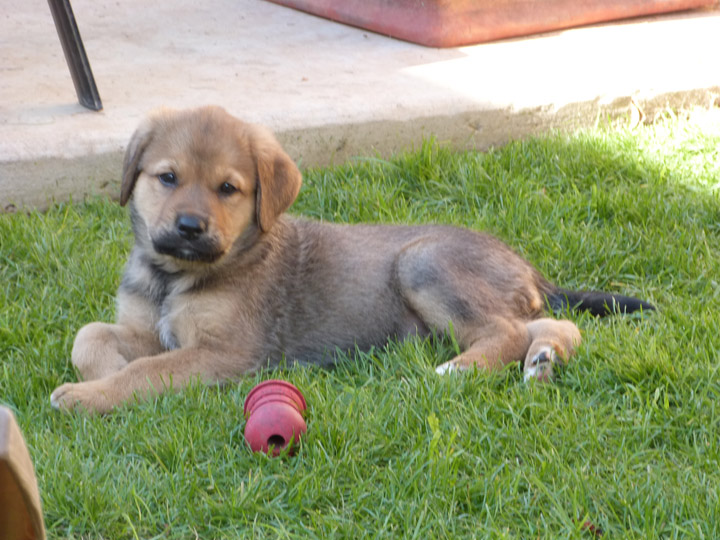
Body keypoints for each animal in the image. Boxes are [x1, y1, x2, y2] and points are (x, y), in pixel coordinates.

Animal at [50, 105, 656, 414]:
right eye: (168, 177)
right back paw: (544, 361)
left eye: (227, 188)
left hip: (423, 262)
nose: (189, 229)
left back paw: (457, 372)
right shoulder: (148, 328)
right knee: (552, 325)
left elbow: (146, 372)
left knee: (505, 334)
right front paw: (102, 372)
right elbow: (90, 335)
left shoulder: (227, 353)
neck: (174, 278)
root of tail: (527, 266)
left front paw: (90, 395)